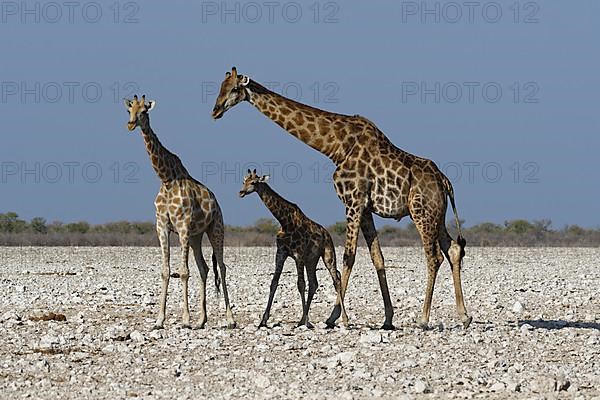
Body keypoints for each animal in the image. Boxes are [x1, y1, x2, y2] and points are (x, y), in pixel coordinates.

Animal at [125, 95, 237, 330]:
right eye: (129, 110)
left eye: (144, 111)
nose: (130, 124)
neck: (166, 179)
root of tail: (217, 202)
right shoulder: (161, 227)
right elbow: (166, 271)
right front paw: (159, 320)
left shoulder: (183, 226)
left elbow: (184, 272)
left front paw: (185, 319)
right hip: (196, 236)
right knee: (204, 268)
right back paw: (201, 320)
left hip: (216, 229)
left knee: (221, 267)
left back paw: (230, 319)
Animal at [239, 169, 346, 328]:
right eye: (243, 181)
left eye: (253, 182)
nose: (241, 192)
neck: (285, 222)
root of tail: (327, 233)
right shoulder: (281, 253)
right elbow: (274, 283)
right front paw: (263, 321)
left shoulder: (298, 254)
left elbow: (300, 284)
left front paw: (306, 322)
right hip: (311, 259)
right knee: (314, 283)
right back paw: (303, 319)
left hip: (328, 254)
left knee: (336, 279)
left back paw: (345, 319)